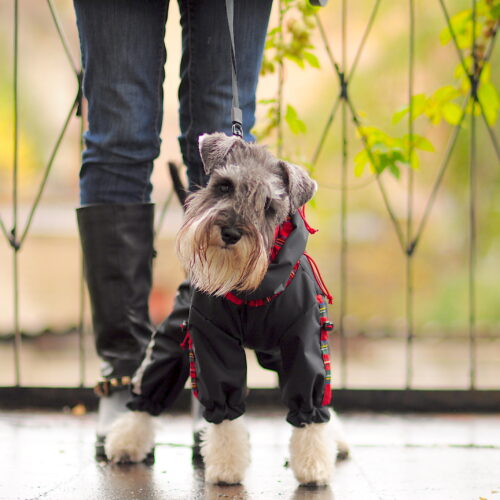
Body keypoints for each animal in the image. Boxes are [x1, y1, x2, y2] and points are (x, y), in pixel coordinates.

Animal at [105, 135, 348, 486]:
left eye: (269, 205)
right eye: (223, 187)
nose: (231, 233)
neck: (253, 286)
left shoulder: (304, 342)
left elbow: (311, 403)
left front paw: (314, 467)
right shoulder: (211, 342)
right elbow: (224, 413)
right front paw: (226, 469)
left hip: (279, 351)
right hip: (171, 340)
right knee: (148, 388)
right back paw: (125, 442)